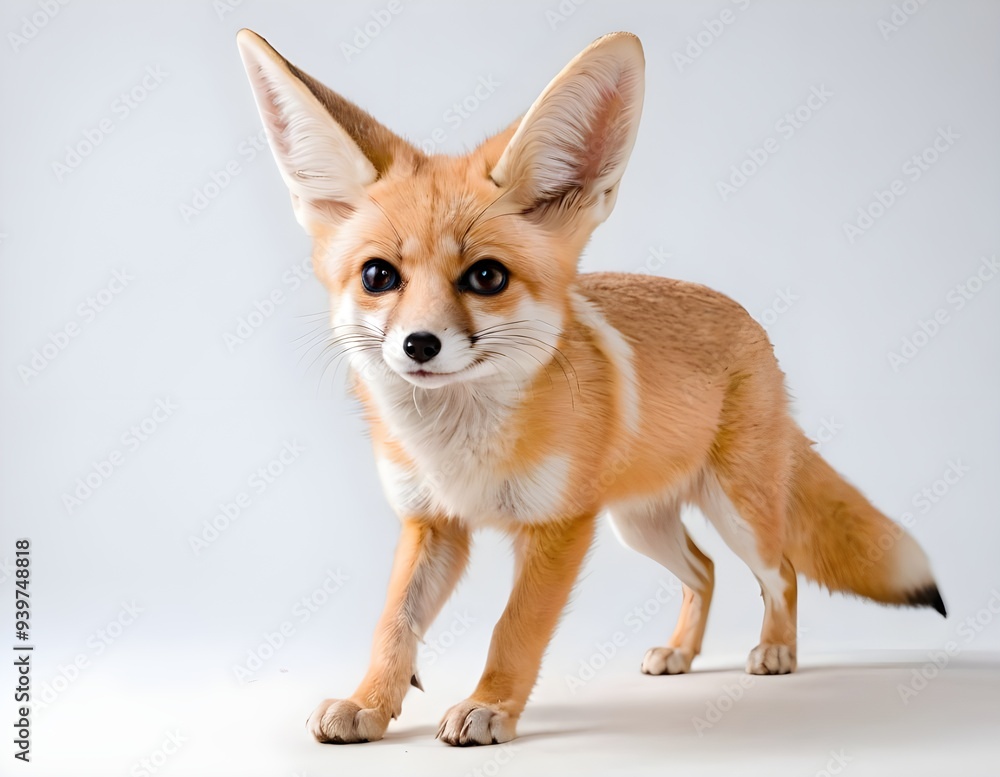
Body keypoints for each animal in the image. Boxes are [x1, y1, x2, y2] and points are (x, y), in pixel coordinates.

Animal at [236, 29, 946, 746]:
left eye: (486, 277)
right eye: (378, 276)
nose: (419, 345)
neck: (459, 450)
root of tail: (750, 322)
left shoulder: (558, 527)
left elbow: (515, 628)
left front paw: (490, 706)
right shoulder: (431, 523)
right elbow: (393, 624)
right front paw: (369, 703)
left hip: (737, 511)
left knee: (782, 573)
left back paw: (777, 650)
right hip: (641, 524)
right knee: (705, 571)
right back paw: (681, 652)